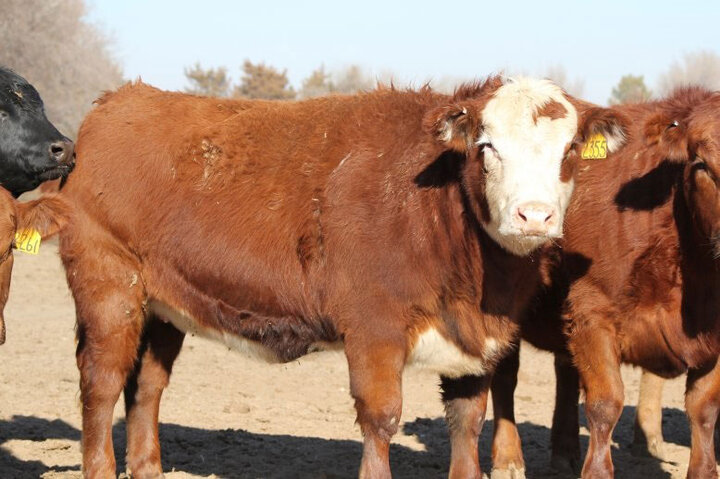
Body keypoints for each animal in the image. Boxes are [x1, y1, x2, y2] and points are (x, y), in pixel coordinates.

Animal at [56, 77, 624, 478]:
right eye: (486, 147)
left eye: (571, 150)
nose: (534, 216)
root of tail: (118, 100)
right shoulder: (374, 328)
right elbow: (381, 416)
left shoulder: (478, 344)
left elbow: (467, 424)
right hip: (108, 285)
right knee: (102, 382)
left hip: (162, 307)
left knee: (147, 386)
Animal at [490, 87, 720, 479]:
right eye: (702, 163)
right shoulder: (592, 313)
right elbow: (605, 402)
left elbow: (703, 409)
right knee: (506, 377)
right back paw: (507, 459)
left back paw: (565, 451)